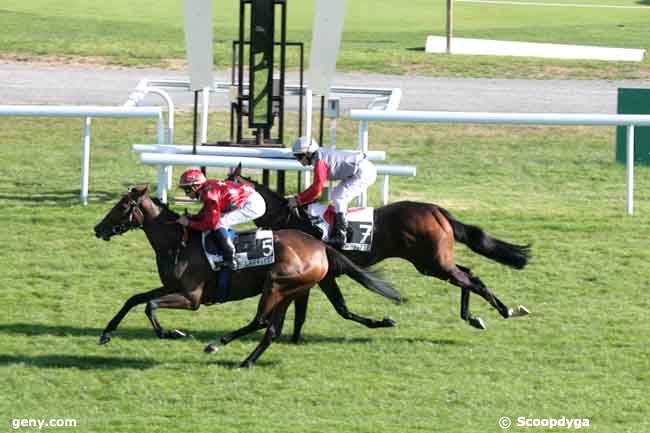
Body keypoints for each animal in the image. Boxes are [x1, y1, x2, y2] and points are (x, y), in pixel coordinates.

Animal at [93, 184, 398, 366]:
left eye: (122, 207)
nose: (97, 229)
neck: (178, 243)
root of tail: (319, 244)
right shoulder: (169, 286)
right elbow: (134, 299)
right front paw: (106, 334)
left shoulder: (191, 298)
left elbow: (150, 305)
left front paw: (170, 333)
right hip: (293, 290)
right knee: (272, 329)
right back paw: (248, 360)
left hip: (276, 284)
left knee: (260, 321)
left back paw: (216, 344)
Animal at [228, 165, 532, 330]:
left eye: (226, 189)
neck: (289, 219)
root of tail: (436, 210)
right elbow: (312, 311)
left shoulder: (324, 274)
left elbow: (337, 308)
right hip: (435, 261)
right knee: (468, 275)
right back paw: (473, 316)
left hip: (432, 263)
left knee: (471, 280)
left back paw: (506, 310)